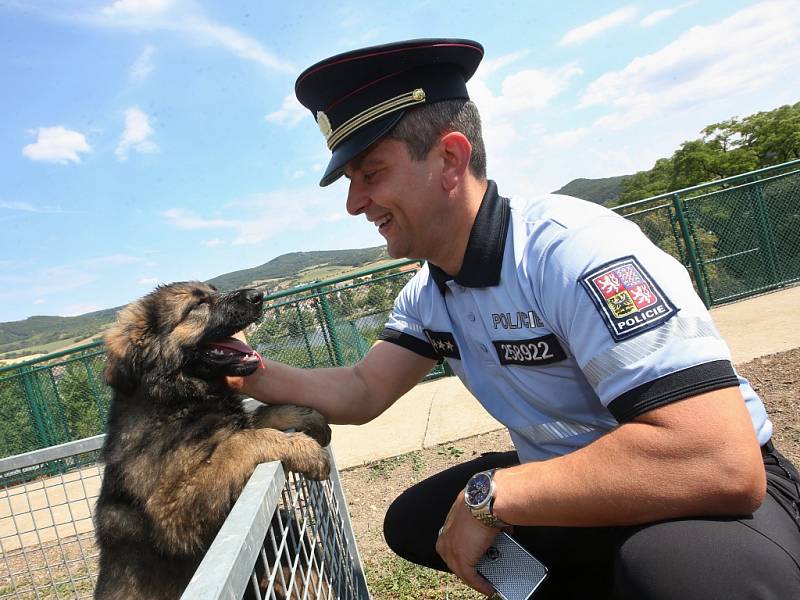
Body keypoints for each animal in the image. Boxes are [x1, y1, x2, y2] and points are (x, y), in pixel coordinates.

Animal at [94, 282, 332, 600]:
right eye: (197, 306)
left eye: (213, 290)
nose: (258, 295)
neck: (176, 400)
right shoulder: (172, 512)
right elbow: (240, 441)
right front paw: (306, 450)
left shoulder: (230, 424)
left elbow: (257, 418)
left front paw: (307, 417)